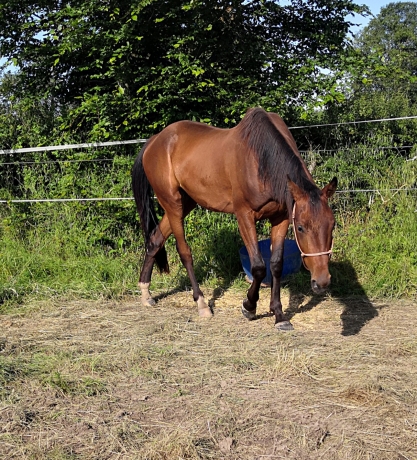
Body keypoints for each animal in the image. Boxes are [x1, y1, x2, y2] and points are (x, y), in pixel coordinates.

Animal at [133, 108, 338, 330]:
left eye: (332, 225)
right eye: (300, 228)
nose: (322, 281)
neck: (260, 159)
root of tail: (155, 141)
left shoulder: (281, 217)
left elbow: (276, 264)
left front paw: (279, 315)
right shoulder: (245, 216)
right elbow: (258, 267)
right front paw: (249, 306)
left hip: (185, 203)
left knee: (155, 239)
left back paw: (145, 292)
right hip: (172, 204)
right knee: (184, 252)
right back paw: (201, 303)